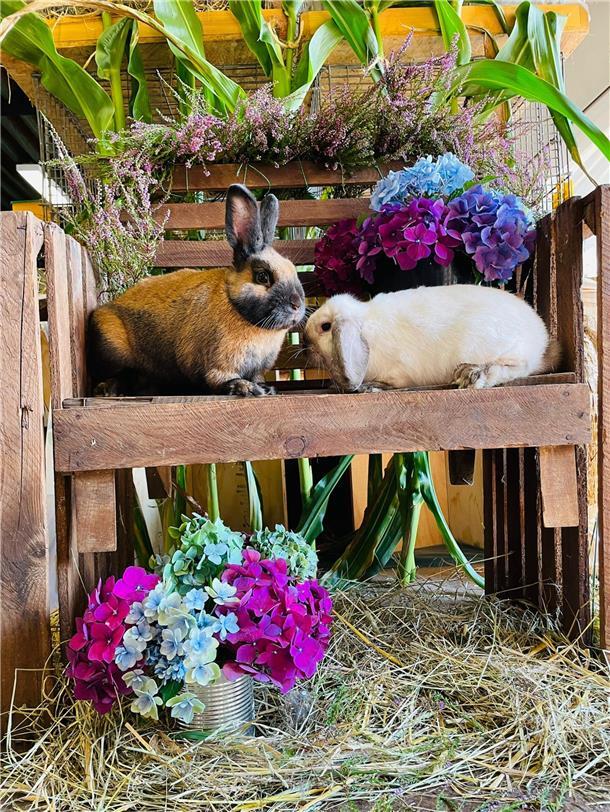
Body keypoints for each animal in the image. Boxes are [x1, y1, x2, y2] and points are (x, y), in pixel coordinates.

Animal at [88, 184, 305, 397]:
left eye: (293, 269)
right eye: (262, 277)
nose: (296, 304)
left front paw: (266, 388)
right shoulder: (217, 364)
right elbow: (220, 379)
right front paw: (245, 387)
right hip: (113, 349)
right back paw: (108, 390)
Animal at [304, 285, 560, 392]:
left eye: (325, 327)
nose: (305, 343)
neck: (365, 326)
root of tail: (540, 339)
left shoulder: (399, 373)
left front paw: (369, 387)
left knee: (516, 367)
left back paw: (472, 374)